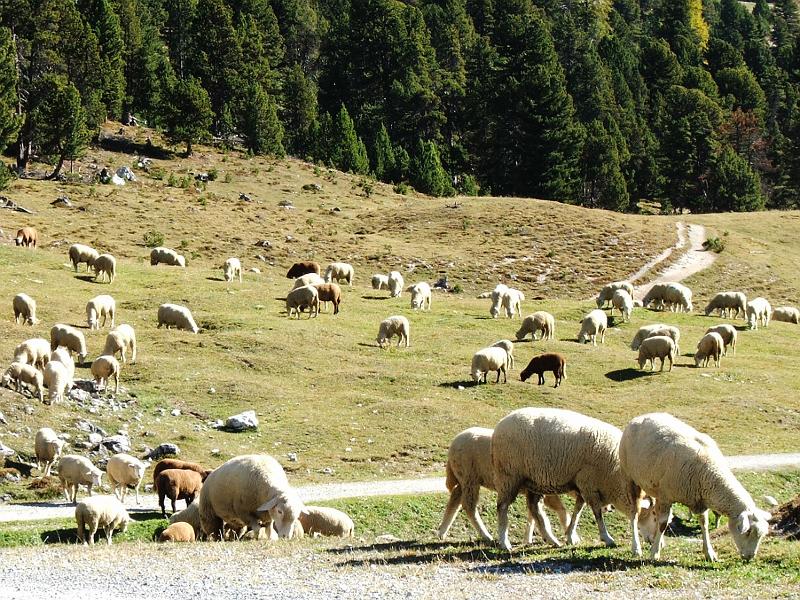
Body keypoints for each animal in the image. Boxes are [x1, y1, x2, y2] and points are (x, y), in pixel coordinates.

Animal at [437, 427, 571, 543]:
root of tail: (454, 441)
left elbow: (537, 513)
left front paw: (528, 539)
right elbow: (558, 509)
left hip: (464, 479)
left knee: (455, 498)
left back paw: (442, 532)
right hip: (469, 477)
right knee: (469, 505)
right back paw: (486, 536)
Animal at [492, 407, 653, 551]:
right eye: (651, 514)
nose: (653, 541)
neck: (615, 476)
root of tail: (500, 425)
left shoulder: (583, 486)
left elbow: (577, 511)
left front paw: (569, 536)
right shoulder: (588, 484)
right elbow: (597, 513)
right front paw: (607, 538)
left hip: (533, 481)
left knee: (535, 508)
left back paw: (552, 540)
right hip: (509, 476)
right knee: (502, 507)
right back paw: (505, 543)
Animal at [620, 412, 771, 561]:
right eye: (748, 532)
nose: (750, 557)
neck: (709, 470)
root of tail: (641, 416)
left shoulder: (700, 499)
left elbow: (704, 524)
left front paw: (709, 553)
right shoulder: (666, 497)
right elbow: (663, 524)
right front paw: (654, 553)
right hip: (630, 479)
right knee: (634, 514)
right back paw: (636, 548)